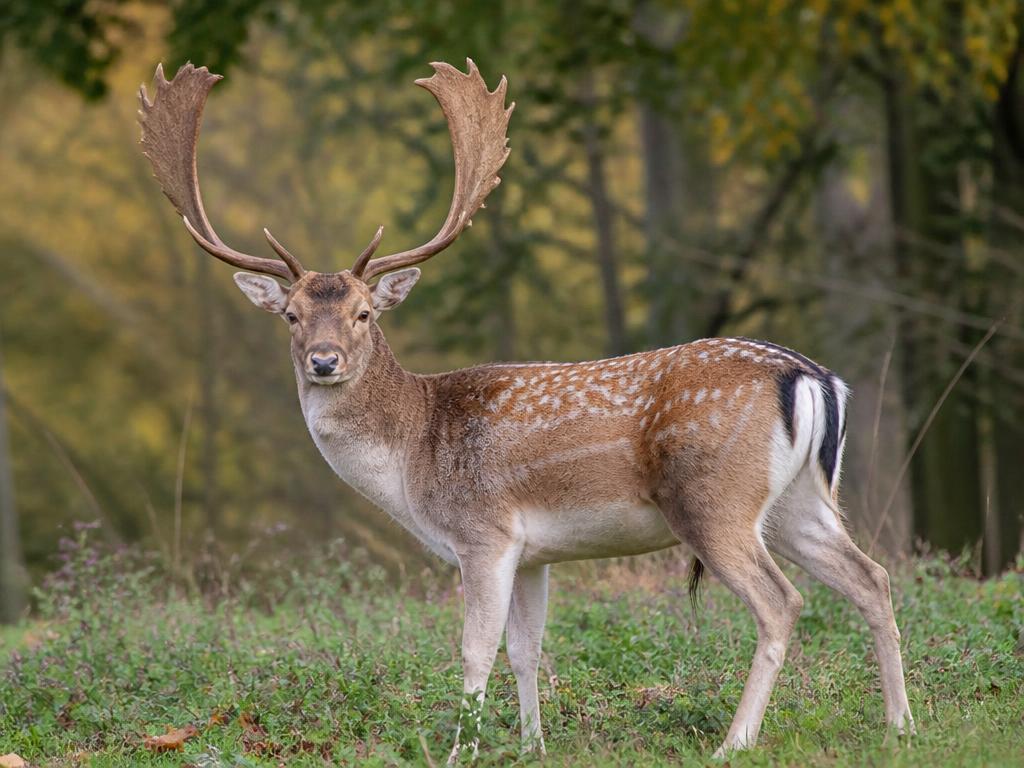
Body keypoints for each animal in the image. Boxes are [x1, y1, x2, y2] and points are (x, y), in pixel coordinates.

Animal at [138, 60, 915, 761]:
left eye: (363, 313)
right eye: (292, 316)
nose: (323, 361)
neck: (414, 455)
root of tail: (810, 375)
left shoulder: (483, 533)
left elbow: (475, 650)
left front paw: (463, 749)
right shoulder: (536, 552)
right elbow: (528, 649)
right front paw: (532, 744)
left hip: (714, 498)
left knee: (782, 602)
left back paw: (735, 742)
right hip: (798, 502)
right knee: (872, 578)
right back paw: (899, 726)